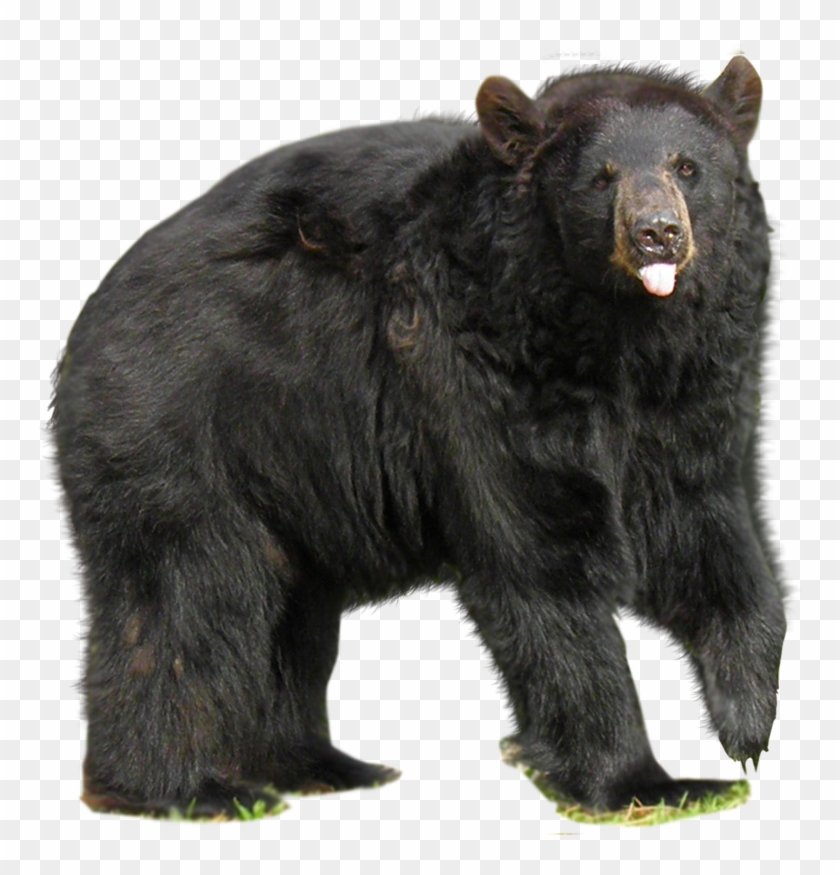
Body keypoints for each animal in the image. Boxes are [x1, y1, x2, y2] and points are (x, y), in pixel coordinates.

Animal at [50, 56, 785, 820]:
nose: (657, 233)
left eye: (687, 167)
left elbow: (711, 526)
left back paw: (320, 764)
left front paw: (746, 724)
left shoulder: (700, 390)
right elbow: (540, 559)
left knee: (291, 615)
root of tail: (87, 322)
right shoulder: (480, 370)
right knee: (185, 596)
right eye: (601, 176)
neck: (617, 338)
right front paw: (643, 782)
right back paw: (186, 789)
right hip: (178, 425)